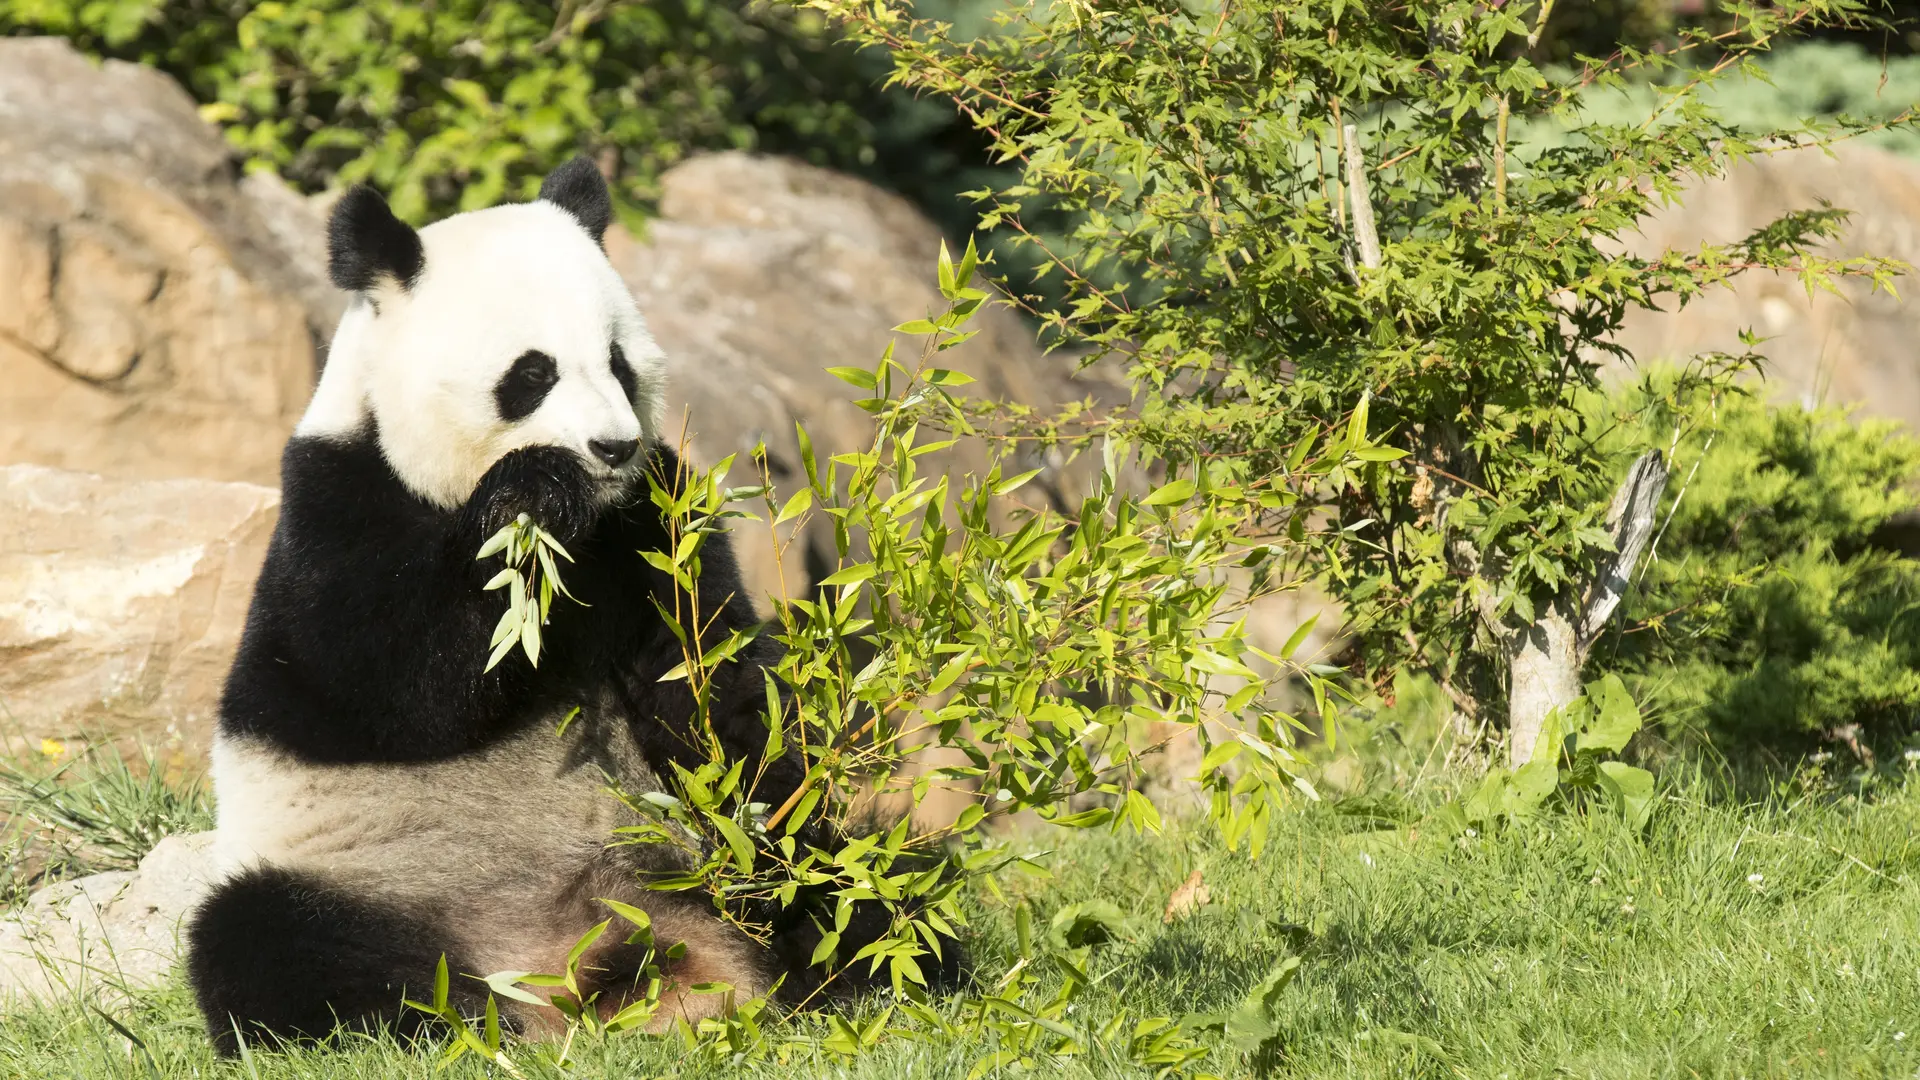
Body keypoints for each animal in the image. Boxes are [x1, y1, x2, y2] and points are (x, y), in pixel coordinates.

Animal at [184, 158, 953, 1054]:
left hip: (696, 867)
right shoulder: (340, 503)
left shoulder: (656, 521)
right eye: (533, 374)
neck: (584, 525)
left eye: (618, 363)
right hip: (364, 878)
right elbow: (384, 680)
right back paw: (432, 1022)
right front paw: (528, 501)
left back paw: (877, 969)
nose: (611, 448)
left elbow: (710, 679)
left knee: (860, 883)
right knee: (269, 943)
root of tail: (570, 973)